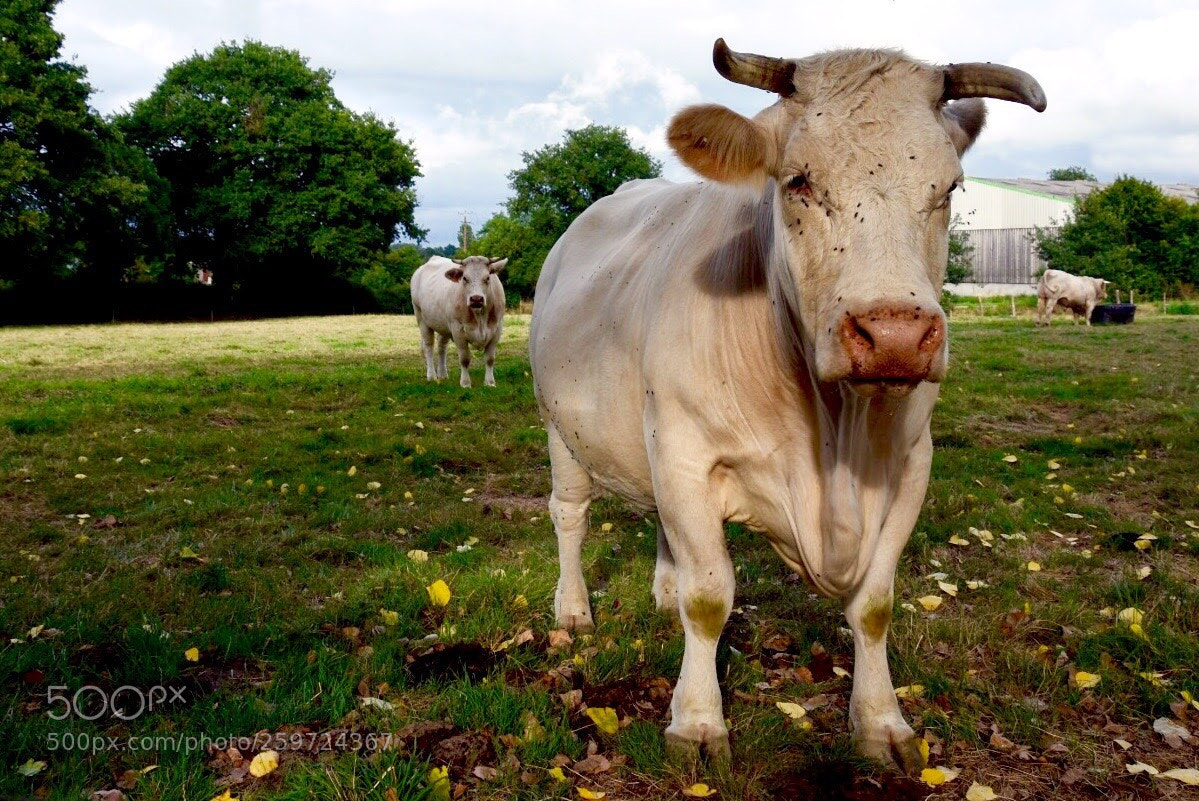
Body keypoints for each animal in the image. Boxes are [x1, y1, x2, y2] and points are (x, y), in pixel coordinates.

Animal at [410, 255, 507, 387]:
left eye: (487, 278)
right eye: (465, 278)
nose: (476, 299)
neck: (480, 317)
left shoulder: (497, 329)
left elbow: (490, 359)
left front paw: (490, 382)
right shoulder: (457, 330)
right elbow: (464, 359)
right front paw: (465, 383)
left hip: (443, 325)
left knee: (442, 347)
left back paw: (443, 374)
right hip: (421, 319)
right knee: (428, 346)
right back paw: (432, 376)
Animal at [529, 40, 1045, 772]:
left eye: (948, 188)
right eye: (798, 181)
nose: (894, 334)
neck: (832, 435)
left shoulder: (912, 463)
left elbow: (874, 604)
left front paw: (881, 723)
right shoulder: (686, 452)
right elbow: (709, 596)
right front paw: (697, 723)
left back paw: (659, 594)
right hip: (561, 428)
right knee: (569, 516)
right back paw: (573, 610)